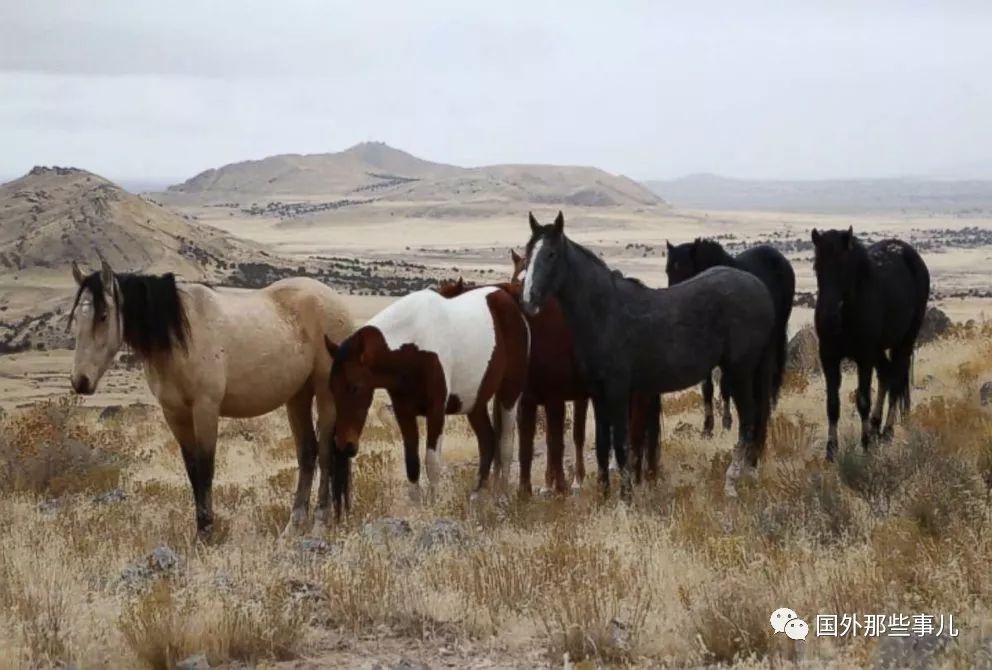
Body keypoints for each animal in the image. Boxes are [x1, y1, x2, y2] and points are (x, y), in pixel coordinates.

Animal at [67, 260, 352, 540]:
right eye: (77, 317)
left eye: (103, 316)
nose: (80, 381)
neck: (179, 339)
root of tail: (335, 301)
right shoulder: (175, 414)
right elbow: (192, 469)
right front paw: (200, 532)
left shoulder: (205, 409)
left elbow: (205, 469)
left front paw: (207, 534)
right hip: (297, 396)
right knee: (307, 453)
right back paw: (292, 527)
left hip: (326, 395)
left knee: (325, 453)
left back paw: (320, 523)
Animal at [520, 214, 784, 498]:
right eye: (527, 252)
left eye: (551, 254)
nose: (528, 301)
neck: (606, 313)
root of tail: (760, 289)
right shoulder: (598, 394)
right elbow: (602, 446)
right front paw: (604, 496)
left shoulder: (618, 391)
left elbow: (622, 446)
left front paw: (625, 497)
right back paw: (750, 471)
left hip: (739, 371)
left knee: (748, 420)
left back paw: (732, 482)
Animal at [668, 239, 800, 438]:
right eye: (668, 271)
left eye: (686, 270)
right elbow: (707, 388)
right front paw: (707, 429)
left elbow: (725, 385)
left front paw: (726, 424)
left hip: (776, 332)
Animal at [812, 227, 928, 462]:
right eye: (817, 267)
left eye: (843, 267)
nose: (829, 318)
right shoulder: (829, 357)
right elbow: (832, 404)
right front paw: (831, 450)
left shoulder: (863, 357)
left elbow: (863, 399)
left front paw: (864, 444)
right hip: (879, 349)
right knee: (885, 374)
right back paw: (875, 427)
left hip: (904, 341)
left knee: (896, 379)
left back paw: (886, 431)